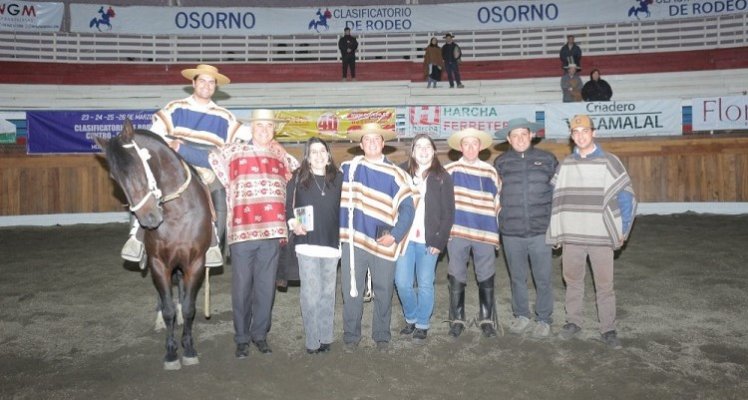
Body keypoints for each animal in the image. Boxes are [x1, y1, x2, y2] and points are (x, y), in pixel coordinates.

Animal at [94, 120, 210, 370]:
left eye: (140, 165)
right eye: (114, 176)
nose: (149, 218)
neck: (177, 214)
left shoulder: (195, 263)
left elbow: (189, 308)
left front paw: (189, 349)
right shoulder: (159, 264)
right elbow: (168, 310)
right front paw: (171, 352)